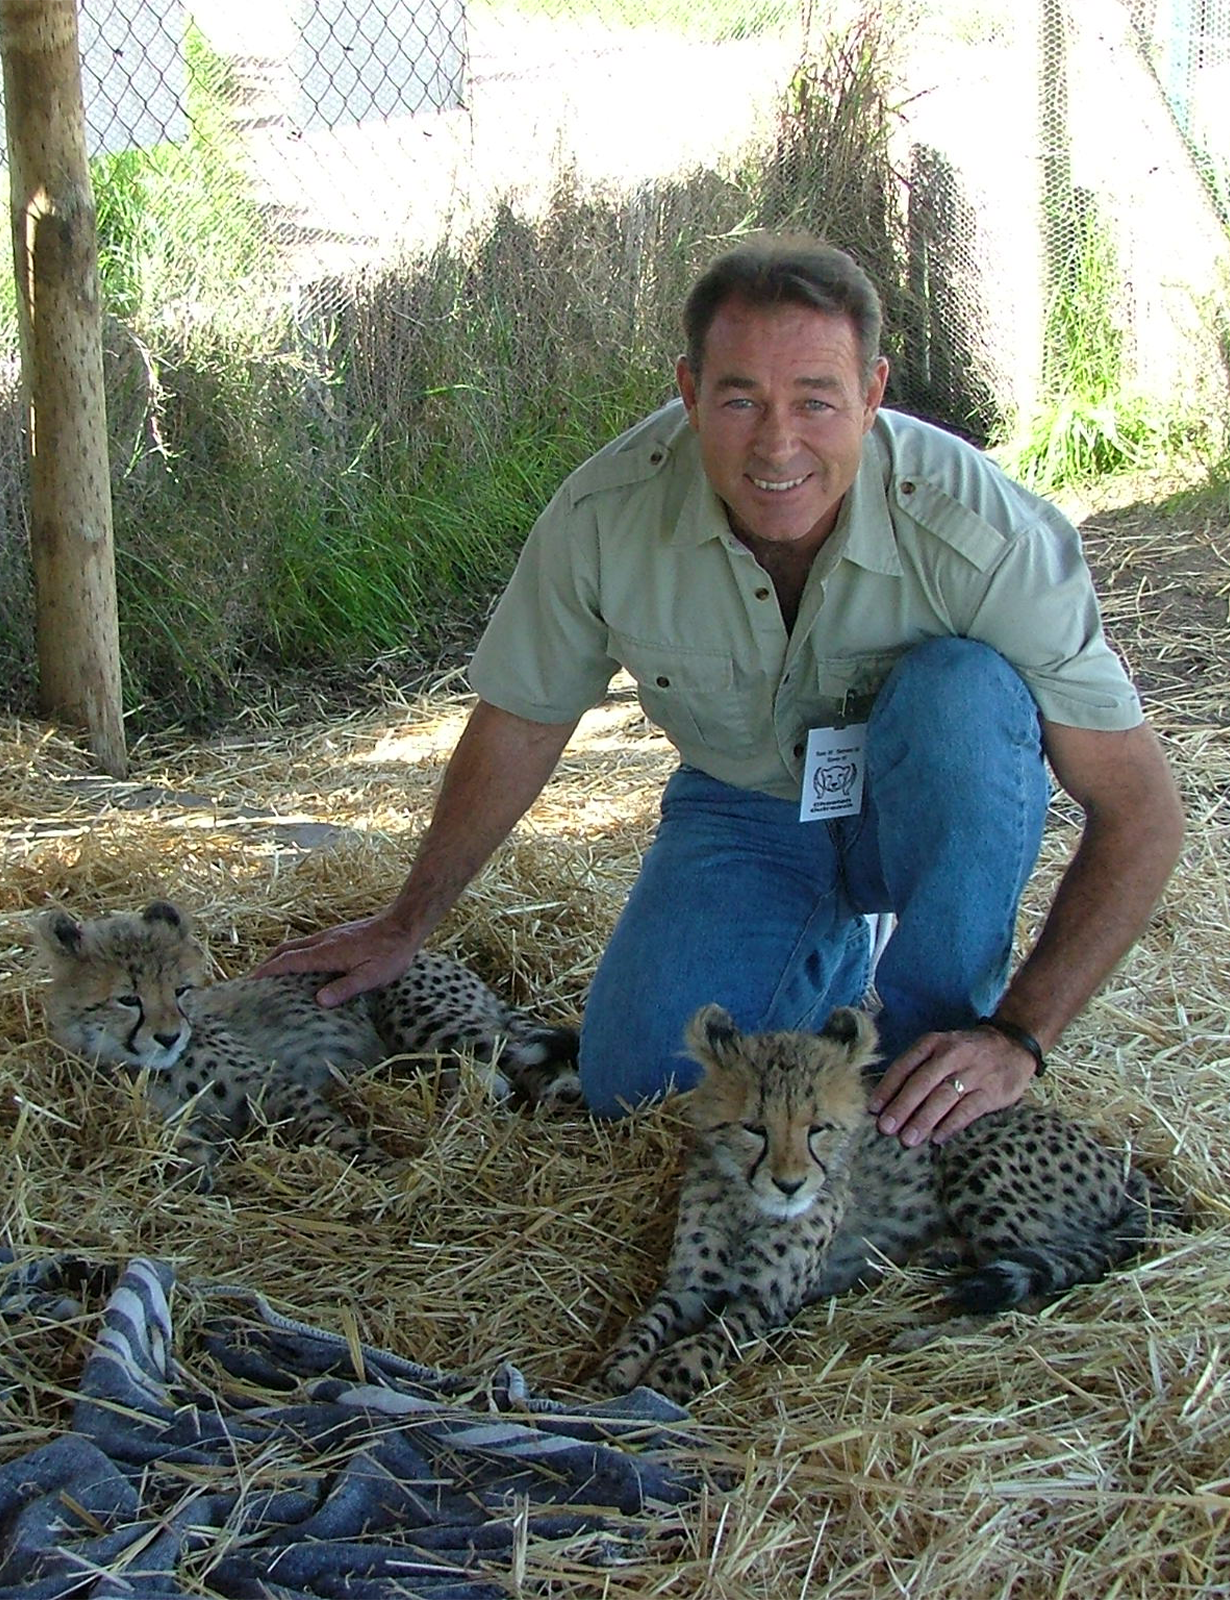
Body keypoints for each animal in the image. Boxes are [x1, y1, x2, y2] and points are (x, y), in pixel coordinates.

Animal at [36, 900, 580, 1188]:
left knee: (520, 1048)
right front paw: (197, 1168)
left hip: (428, 1021)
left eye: (181, 991)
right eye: (129, 998)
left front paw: (385, 1170)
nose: (169, 1035)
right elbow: (182, 1144)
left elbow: (331, 1132)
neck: (142, 1065)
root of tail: (438, 955)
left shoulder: (275, 1084)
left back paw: (561, 1091)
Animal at [599, 1004, 1180, 1402]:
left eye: (818, 1129)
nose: (789, 1185)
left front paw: (668, 1374)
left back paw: (927, 1333)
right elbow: (649, 1321)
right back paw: (938, 1255)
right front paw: (619, 1366)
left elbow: (713, 1338)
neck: (749, 1206)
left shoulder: (769, 1301)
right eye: (754, 1129)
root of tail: (1119, 1165)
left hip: (981, 1170)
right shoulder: (691, 1284)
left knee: (1032, 1300)